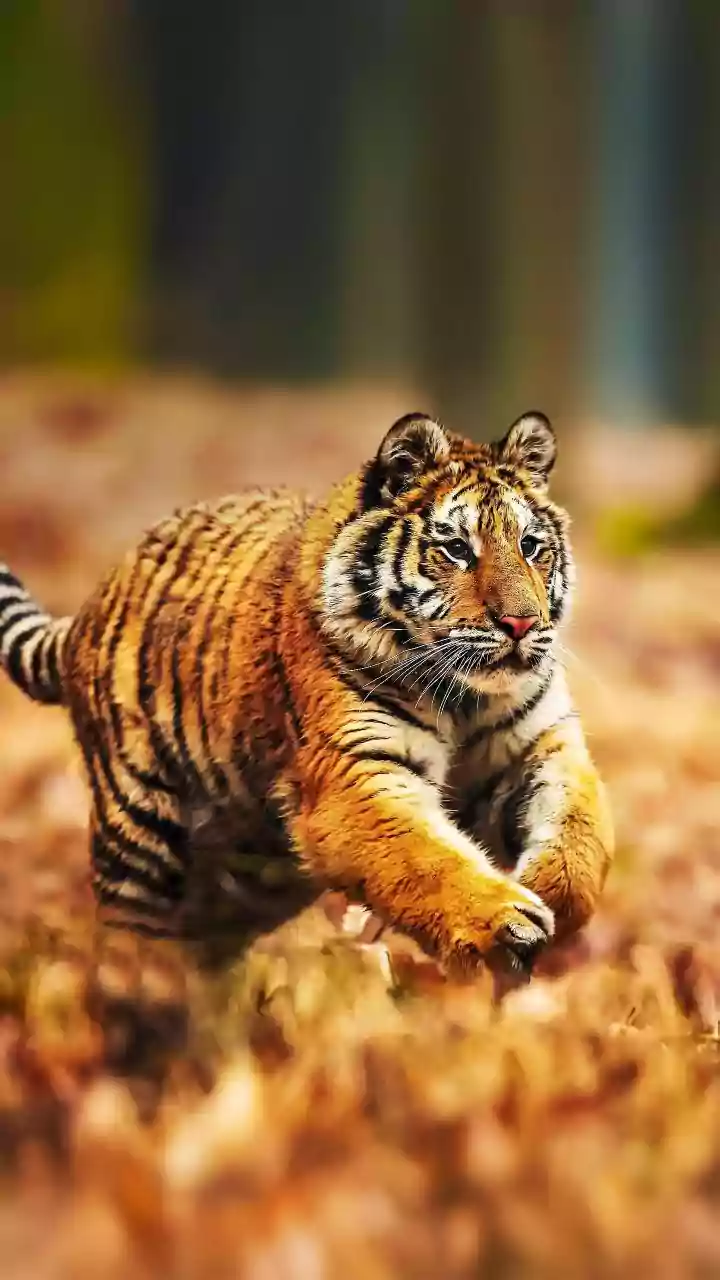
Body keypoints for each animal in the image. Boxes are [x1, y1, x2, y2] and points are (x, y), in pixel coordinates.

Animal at [0, 409, 613, 975]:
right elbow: (425, 858)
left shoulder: (543, 743)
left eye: (531, 546)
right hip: (138, 841)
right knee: (129, 943)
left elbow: (582, 828)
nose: (522, 624)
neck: (467, 698)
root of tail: (85, 611)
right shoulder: (355, 771)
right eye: (457, 549)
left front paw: (549, 894)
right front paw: (506, 920)